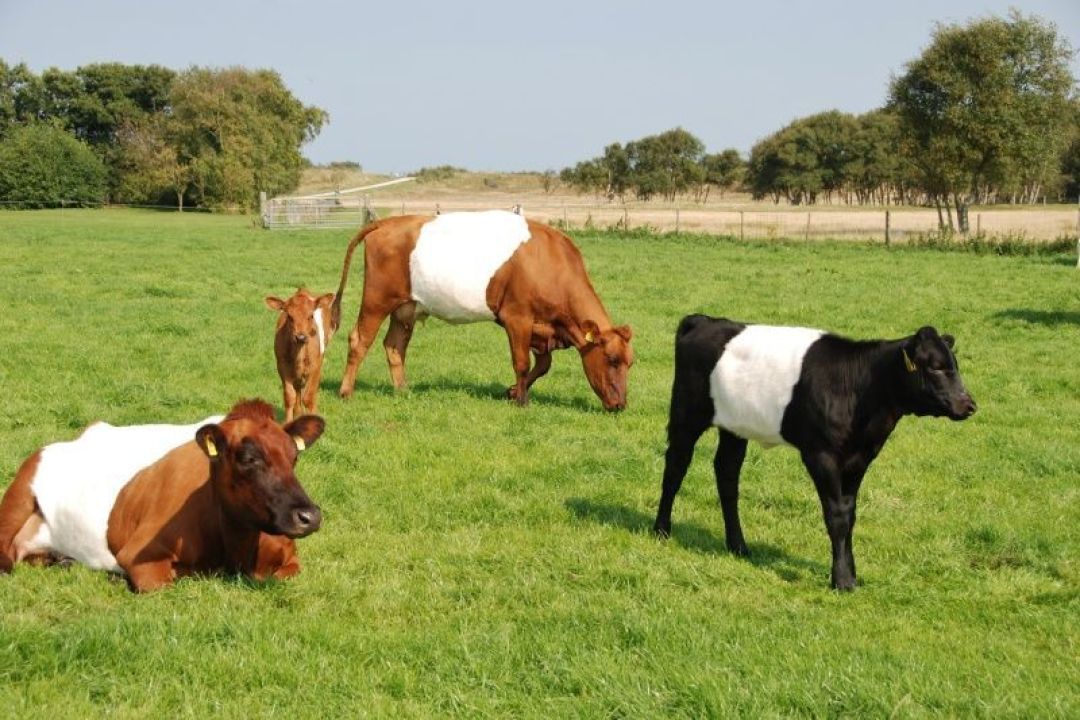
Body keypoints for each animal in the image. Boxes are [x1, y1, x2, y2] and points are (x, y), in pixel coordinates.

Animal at [0, 399, 324, 591]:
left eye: (294, 456)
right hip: (20, 491)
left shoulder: (289, 559)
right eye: (248, 458)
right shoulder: (140, 556)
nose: (309, 516)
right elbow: (170, 580)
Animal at [264, 287, 332, 423]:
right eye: (289, 316)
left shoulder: (315, 367)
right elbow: (289, 396)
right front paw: (288, 422)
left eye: (311, 315)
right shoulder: (282, 366)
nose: (300, 337)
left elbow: (309, 397)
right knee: (298, 389)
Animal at [328, 209, 630, 410]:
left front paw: (512, 392)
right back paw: (346, 392)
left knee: (394, 346)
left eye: (630, 363)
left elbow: (543, 366)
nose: (620, 405)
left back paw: (403, 390)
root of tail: (387, 222)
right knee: (359, 340)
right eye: (612, 360)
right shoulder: (517, 317)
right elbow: (522, 363)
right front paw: (521, 401)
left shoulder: (541, 329)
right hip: (376, 300)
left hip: (406, 308)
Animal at [648, 315, 980, 591]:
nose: (968, 404)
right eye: (934, 366)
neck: (861, 389)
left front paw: (852, 574)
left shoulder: (860, 459)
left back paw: (738, 546)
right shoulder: (821, 454)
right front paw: (842, 581)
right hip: (686, 413)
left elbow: (850, 513)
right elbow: (836, 515)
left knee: (727, 476)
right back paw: (661, 530)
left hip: (735, 426)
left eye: (955, 365)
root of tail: (704, 320)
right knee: (676, 466)